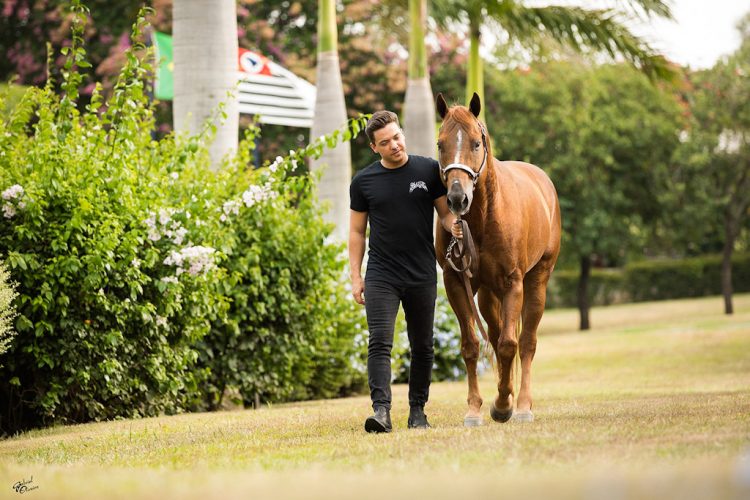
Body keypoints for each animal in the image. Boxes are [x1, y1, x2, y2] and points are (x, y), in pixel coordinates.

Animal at [435, 92, 561, 426]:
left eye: (476, 143)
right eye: (440, 143)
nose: (457, 198)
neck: (483, 218)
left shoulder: (513, 283)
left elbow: (508, 346)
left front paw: (505, 405)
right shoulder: (456, 282)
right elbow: (472, 345)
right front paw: (476, 408)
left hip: (536, 282)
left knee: (526, 342)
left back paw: (523, 405)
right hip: (488, 295)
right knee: (494, 334)